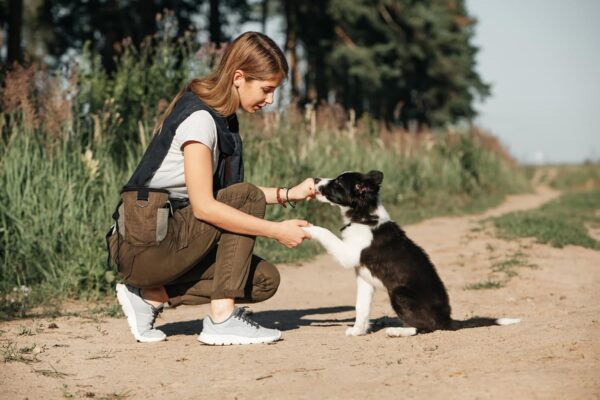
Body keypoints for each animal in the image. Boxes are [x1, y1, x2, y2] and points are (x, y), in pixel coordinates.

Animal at [304, 170, 520, 338]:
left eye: (338, 183)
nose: (315, 179)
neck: (364, 217)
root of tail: (447, 320)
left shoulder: (349, 255)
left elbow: (326, 233)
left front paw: (306, 228)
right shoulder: (364, 278)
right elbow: (361, 308)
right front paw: (358, 331)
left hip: (399, 294)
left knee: (427, 327)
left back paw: (397, 331)